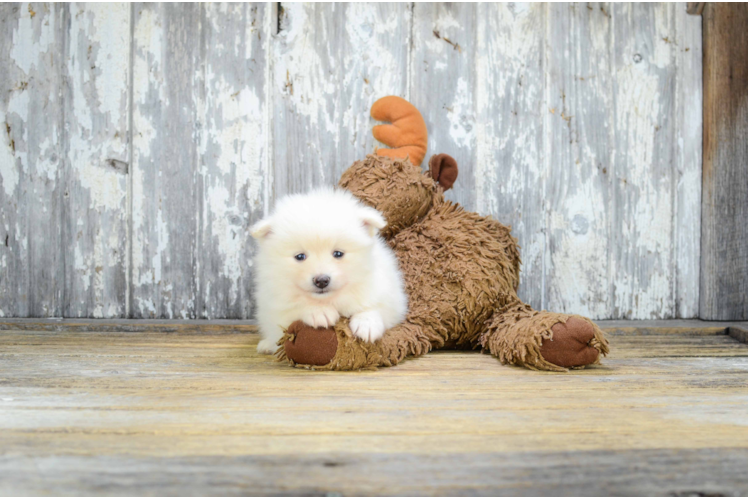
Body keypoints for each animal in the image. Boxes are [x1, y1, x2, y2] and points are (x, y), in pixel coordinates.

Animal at [250, 188, 404, 356]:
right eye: (300, 256)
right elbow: (296, 307)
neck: (331, 299)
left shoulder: (389, 294)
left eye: (338, 254)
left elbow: (376, 307)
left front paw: (367, 324)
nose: (322, 280)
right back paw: (265, 345)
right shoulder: (275, 303)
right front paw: (318, 311)